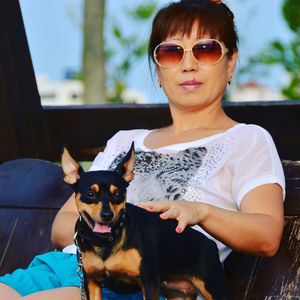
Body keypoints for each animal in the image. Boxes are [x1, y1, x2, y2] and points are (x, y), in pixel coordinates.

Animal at [60, 144, 230, 298]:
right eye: (90, 194)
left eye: (118, 194)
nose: (107, 215)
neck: (105, 242)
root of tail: (210, 243)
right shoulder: (91, 282)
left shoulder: (148, 282)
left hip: (213, 288)